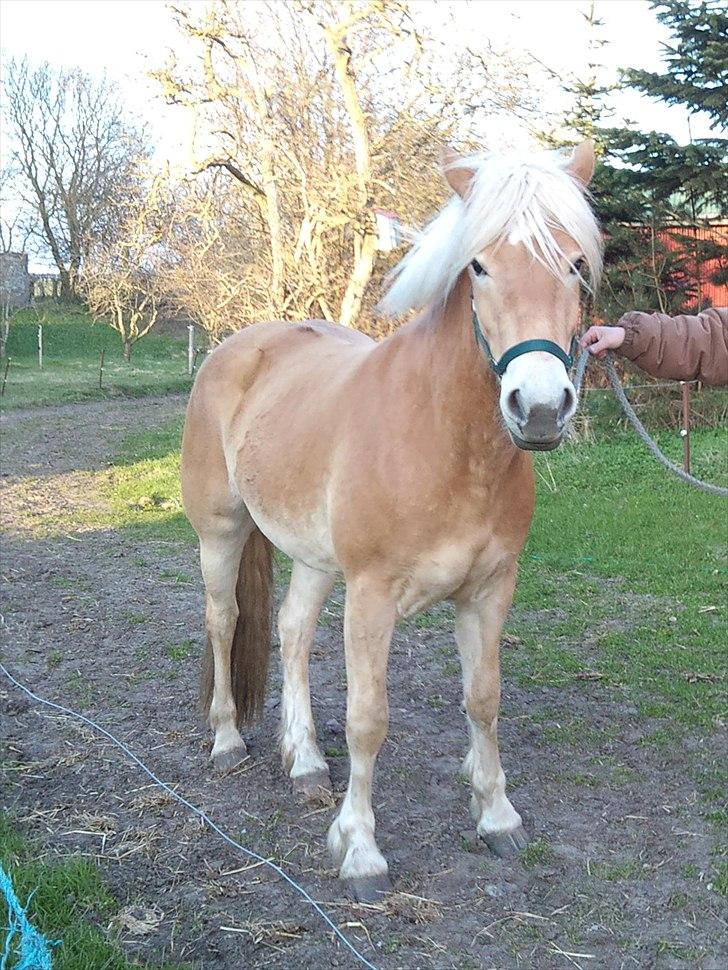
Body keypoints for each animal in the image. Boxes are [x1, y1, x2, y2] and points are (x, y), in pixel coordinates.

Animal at [182, 138, 604, 900]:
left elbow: (483, 699)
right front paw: (360, 852)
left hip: (314, 559)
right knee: (225, 621)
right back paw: (228, 740)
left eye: (576, 263)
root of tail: (240, 346)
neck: (444, 441)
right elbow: (368, 721)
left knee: (291, 631)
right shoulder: (372, 597)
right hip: (221, 533)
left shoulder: (491, 590)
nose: (540, 408)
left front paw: (496, 816)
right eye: (479, 265)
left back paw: (305, 761)